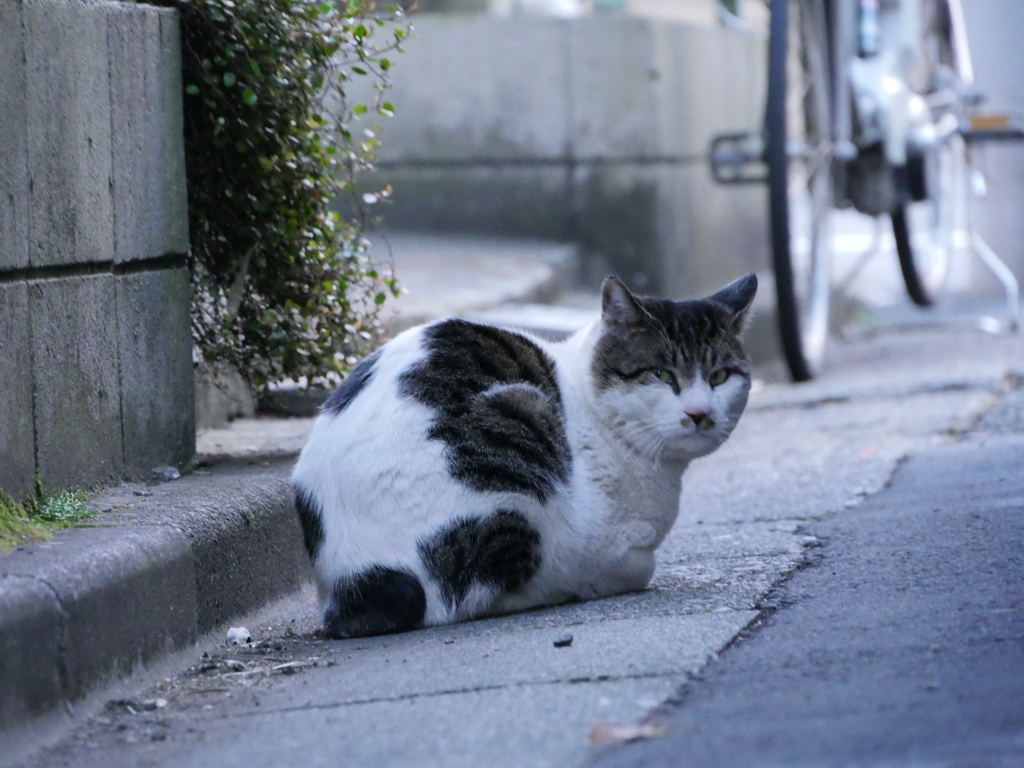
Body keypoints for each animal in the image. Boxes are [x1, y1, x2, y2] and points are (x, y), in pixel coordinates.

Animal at [292, 274, 757, 638]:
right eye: (661, 374)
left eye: (720, 376)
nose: (699, 414)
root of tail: (350, 579)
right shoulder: (605, 546)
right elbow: (637, 565)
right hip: (519, 435)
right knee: (462, 600)